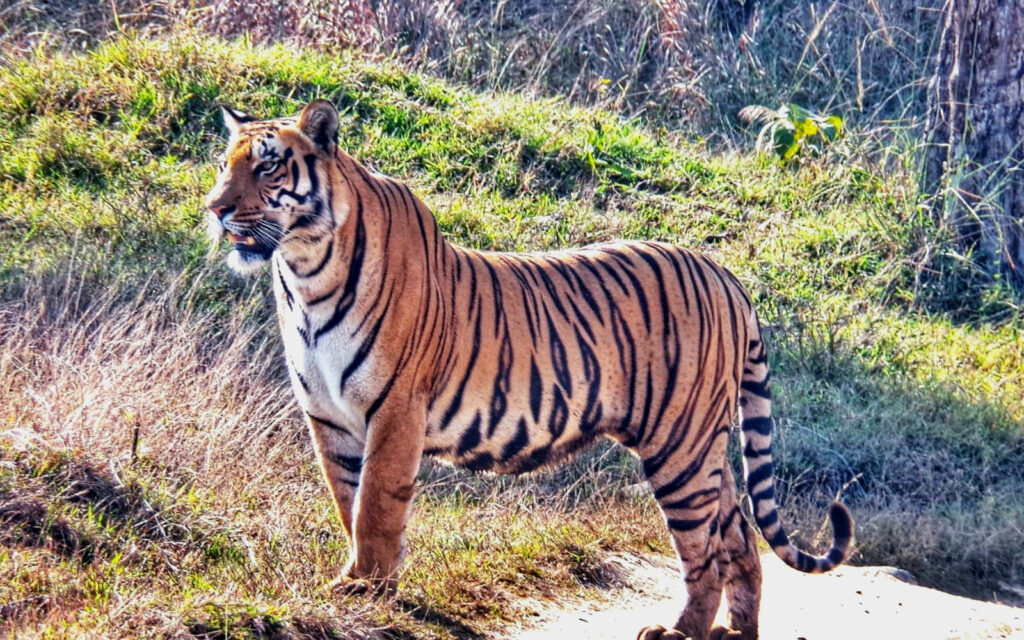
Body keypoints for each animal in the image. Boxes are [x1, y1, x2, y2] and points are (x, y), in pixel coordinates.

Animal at [204, 99, 854, 640]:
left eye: (267, 167)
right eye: (224, 165)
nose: (215, 209)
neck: (304, 273)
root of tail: (725, 275)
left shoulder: (394, 410)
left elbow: (377, 507)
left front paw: (366, 589)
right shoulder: (328, 415)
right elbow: (347, 501)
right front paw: (365, 582)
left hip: (682, 443)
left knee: (705, 549)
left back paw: (679, 632)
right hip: (699, 444)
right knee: (737, 532)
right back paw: (735, 633)